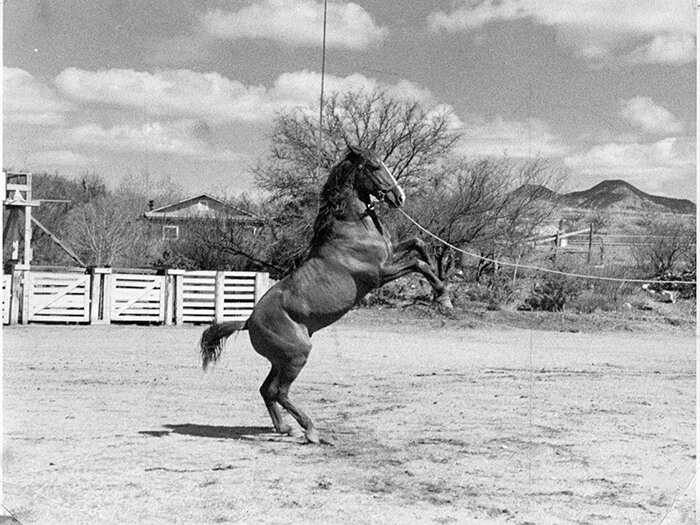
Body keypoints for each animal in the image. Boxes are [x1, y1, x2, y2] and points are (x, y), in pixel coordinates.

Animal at [200, 145, 452, 444]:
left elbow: (419, 243)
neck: (352, 229)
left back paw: (283, 428)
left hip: (280, 360)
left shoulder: (392, 254)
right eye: (375, 166)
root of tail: (249, 321)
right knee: (279, 392)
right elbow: (418, 264)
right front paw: (444, 297)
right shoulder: (381, 273)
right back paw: (310, 430)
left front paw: (441, 287)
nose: (399, 197)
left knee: (266, 390)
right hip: (296, 357)